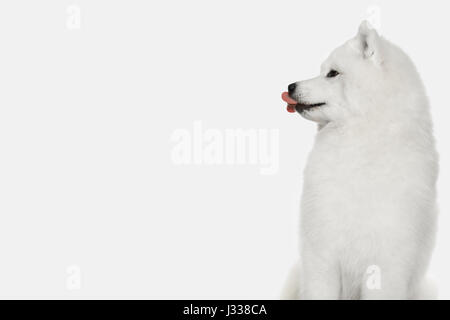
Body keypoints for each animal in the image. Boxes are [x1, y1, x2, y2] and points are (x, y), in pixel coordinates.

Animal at [282, 21, 440, 300]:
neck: (358, 146)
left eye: (332, 73)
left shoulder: (386, 261)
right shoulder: (321, 252)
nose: (291, 86)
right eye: (323, 71)